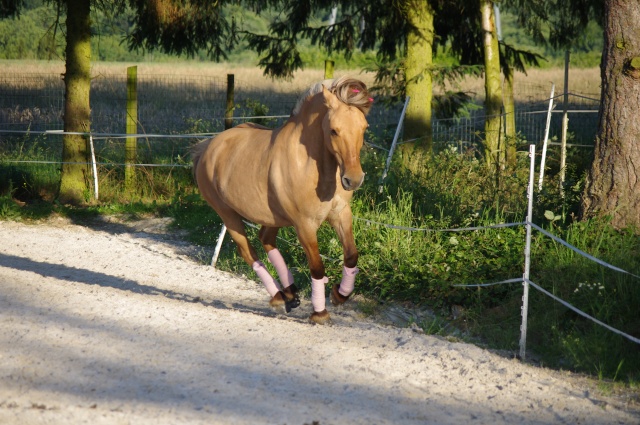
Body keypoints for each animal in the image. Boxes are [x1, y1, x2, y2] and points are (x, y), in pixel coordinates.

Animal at [191, 76, 370, 322]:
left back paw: (290, 293)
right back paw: (279, 297)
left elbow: (351, 255)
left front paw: (339, 295)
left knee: (266, 239)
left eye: (364, 128)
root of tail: (208, 147)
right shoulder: (304, 225)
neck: (311, 167)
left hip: (272, 217)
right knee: (248, 251)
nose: (353, 179)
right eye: (334, 130)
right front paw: (320, 312)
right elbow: (317, 267)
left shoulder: (341, 214)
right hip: (228, 215)